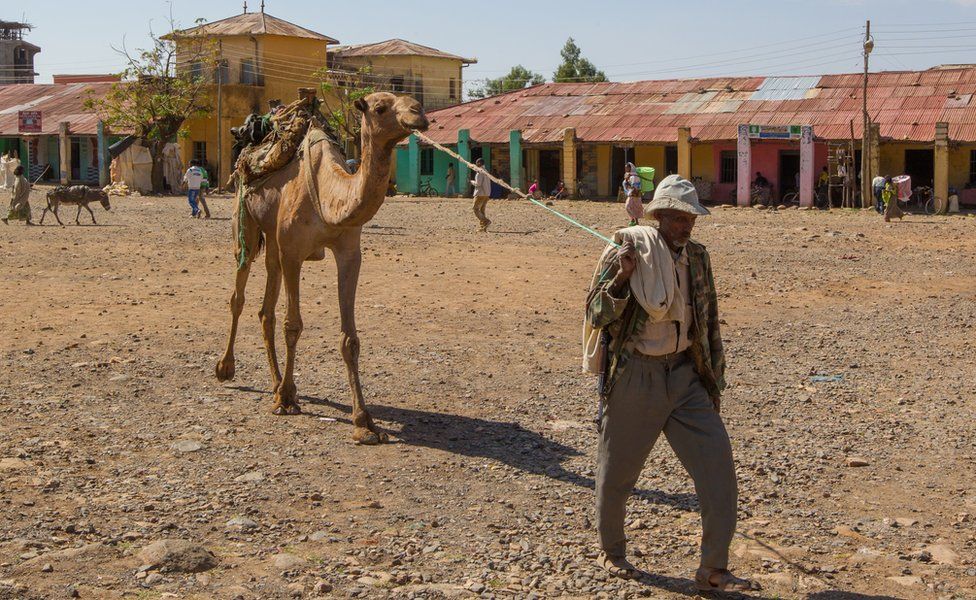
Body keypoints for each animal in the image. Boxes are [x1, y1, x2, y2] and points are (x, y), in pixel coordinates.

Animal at [215, 91, 428, 442]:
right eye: (380, 108)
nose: (419, 113)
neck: (330, 199)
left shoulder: (349, 252)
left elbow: (350, 339)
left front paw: (363, 422)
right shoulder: (293, 252)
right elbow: (293, 326)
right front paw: (288, 400)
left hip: (273, 242)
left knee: (265, 310)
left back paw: (275, 383)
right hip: (244, 222)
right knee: (238, 296)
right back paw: (227, 369)